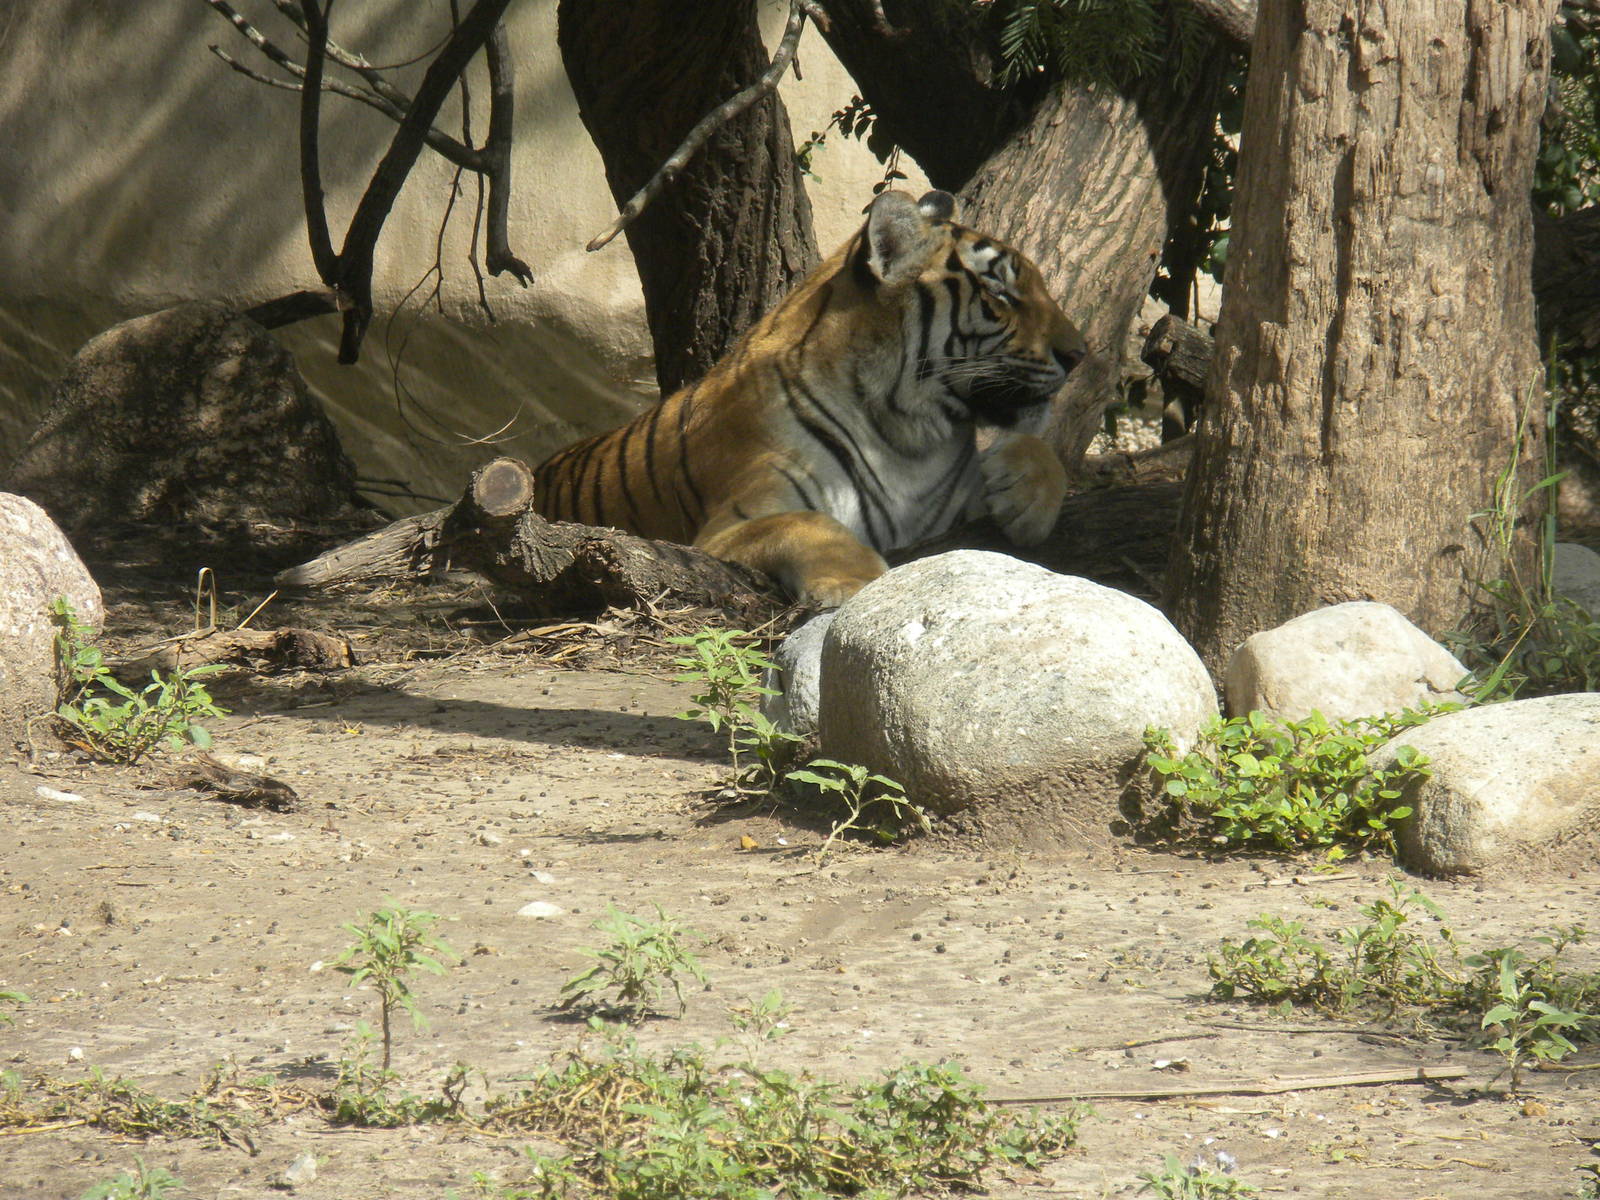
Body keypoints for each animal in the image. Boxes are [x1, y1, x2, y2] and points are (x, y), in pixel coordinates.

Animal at [532, 188, 1087, 606]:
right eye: (1000, 294)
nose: (1079, 354)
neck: (909, 438)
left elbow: (1045, 453)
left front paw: (1026, 501)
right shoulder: (733, 522)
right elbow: (808, 523)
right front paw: (857, 584)